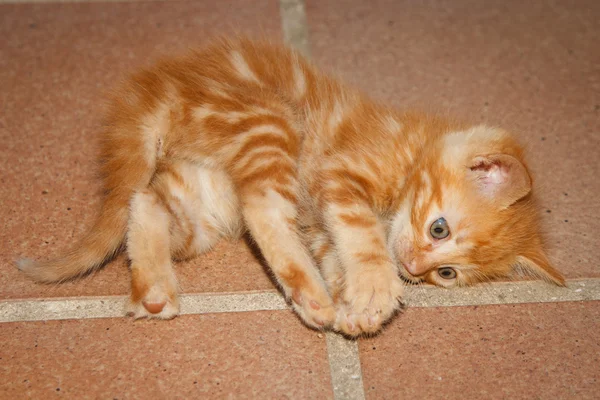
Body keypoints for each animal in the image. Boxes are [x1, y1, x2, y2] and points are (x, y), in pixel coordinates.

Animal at [16, 36, 564, 336]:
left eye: (446, 275)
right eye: (439, 228)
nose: (413, 268)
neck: (411, 150)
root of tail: (156, 92)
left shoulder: (321, 227)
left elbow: (336, 252)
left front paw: (355, 307)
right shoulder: (342, 173)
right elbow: (363, 235)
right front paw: (375, 285)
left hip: (201, 206)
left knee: (145, 200)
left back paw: (154, 287)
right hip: (269, 119)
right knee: (260, 206)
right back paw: (311, 296)